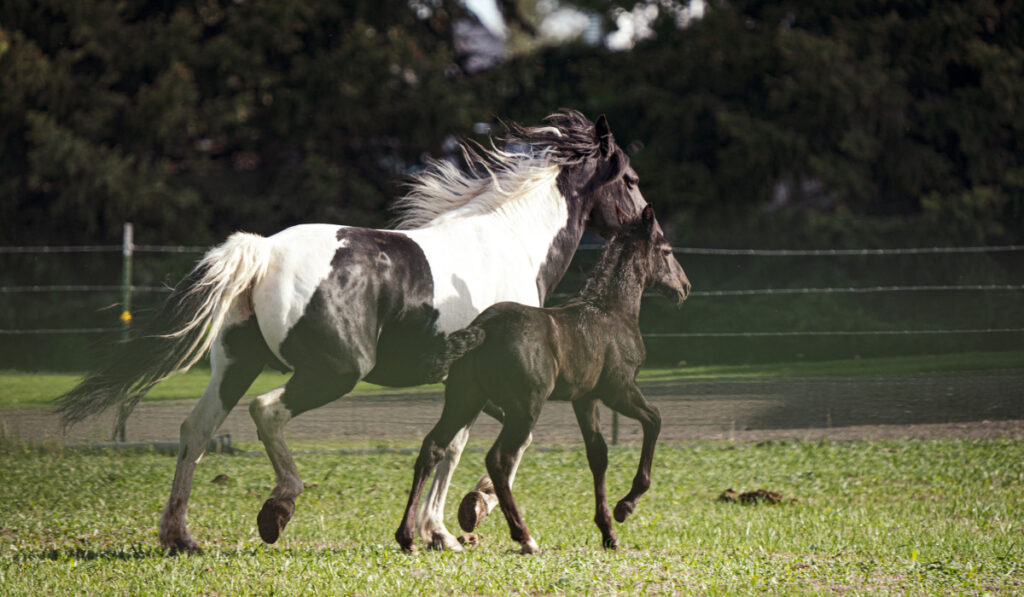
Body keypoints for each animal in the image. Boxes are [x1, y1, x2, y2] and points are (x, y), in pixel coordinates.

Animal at [395, 206, 692, 557]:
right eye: (667, 250)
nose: (684, 286)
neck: (611, 310)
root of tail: (483, 328)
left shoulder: (585, 399)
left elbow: (598, 455)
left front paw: (608, 532)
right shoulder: (619, 390)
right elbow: (654, 420)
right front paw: (625, 507)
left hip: (465, 398)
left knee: (433, 447)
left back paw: (407, 537)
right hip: (524, 407)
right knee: (499, 459)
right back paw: (524, 537)